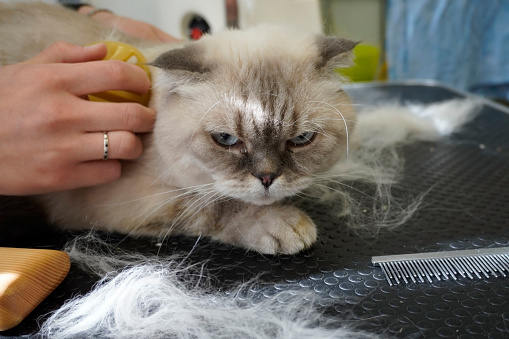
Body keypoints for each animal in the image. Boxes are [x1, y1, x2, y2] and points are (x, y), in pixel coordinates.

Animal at [0, 1, 358, 255]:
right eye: (226, 139)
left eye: (301, 139)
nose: (268, 178)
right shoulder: (128, 201)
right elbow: (216, 205)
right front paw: (285, 224)